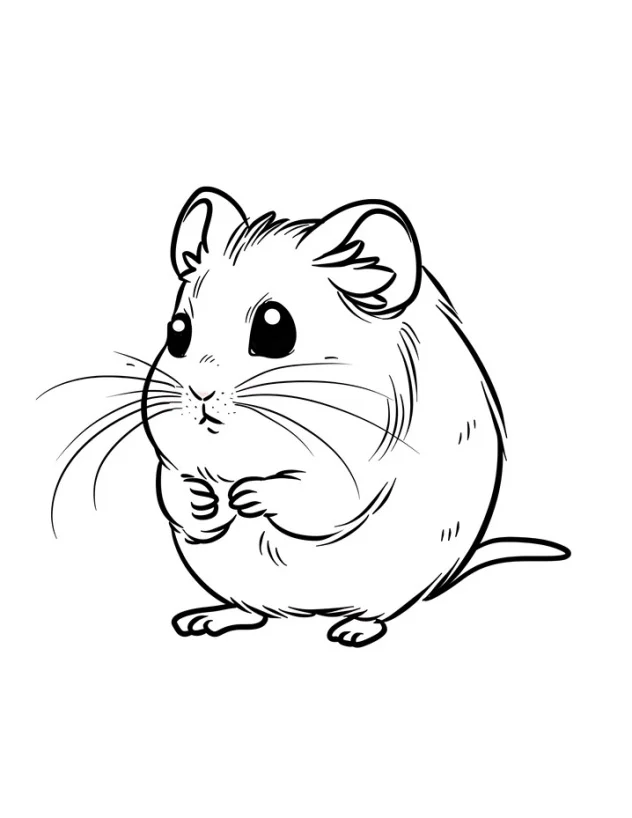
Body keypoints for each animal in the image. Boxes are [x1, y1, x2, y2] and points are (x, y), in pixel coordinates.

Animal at [141, 186, 570, 647]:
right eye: (177, 332)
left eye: (275, 329)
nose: (199, 395)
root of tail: (308, 609)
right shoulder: (171, 458)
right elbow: (175, 486)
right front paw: (202, 499)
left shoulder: (356, 467)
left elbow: (322, 492)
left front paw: (247, 496)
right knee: (254, 613)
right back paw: (206, 620)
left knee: (373, 612)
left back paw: (351, 630)